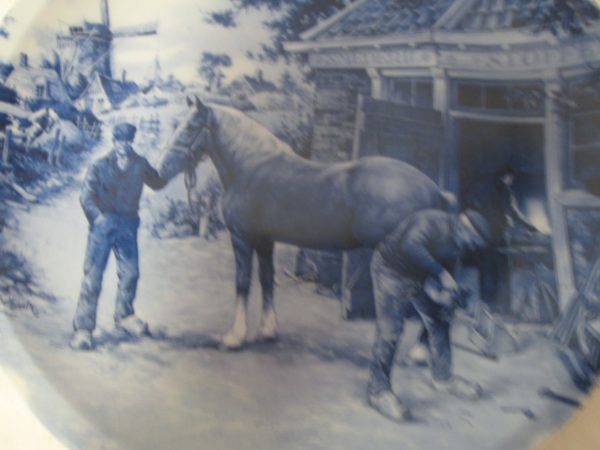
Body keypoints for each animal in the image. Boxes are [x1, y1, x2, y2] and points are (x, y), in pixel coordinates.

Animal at [157, 94, 448, 348]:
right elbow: (266, 280)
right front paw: (268, 330)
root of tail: (433, 189)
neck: (250, 165)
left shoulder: (242, 238)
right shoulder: (265, 241)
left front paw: (234, 336)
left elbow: (242, 282)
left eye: (191, 126)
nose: (161, 170)